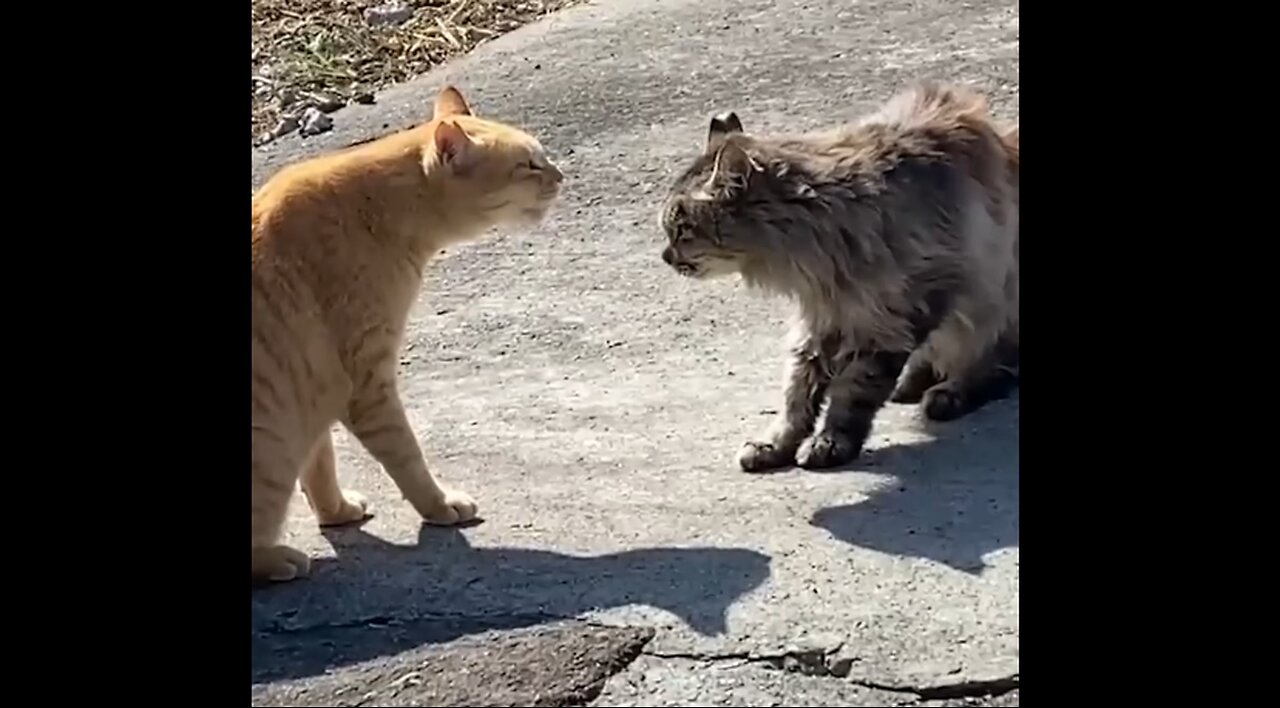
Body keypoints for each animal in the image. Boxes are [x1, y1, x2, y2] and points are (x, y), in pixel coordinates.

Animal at [252, 84, 563, 578]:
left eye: (542, 158)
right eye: (529, 165)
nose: (561, 175)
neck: (375, 208)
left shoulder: (316, 390)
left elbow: (321, 466)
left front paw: (336, 512)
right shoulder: (366, 385)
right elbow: (406, 454)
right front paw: (439, 505)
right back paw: (276, 558)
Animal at [660, 81, 1018, 468]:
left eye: (681, 231)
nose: (665, 256)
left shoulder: (896, 314)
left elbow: (853, 389)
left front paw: (830, 442)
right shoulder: (821, 317)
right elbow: (797, 391)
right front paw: (776, 443)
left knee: (995, 363)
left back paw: (949, 392)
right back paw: (913, 380)